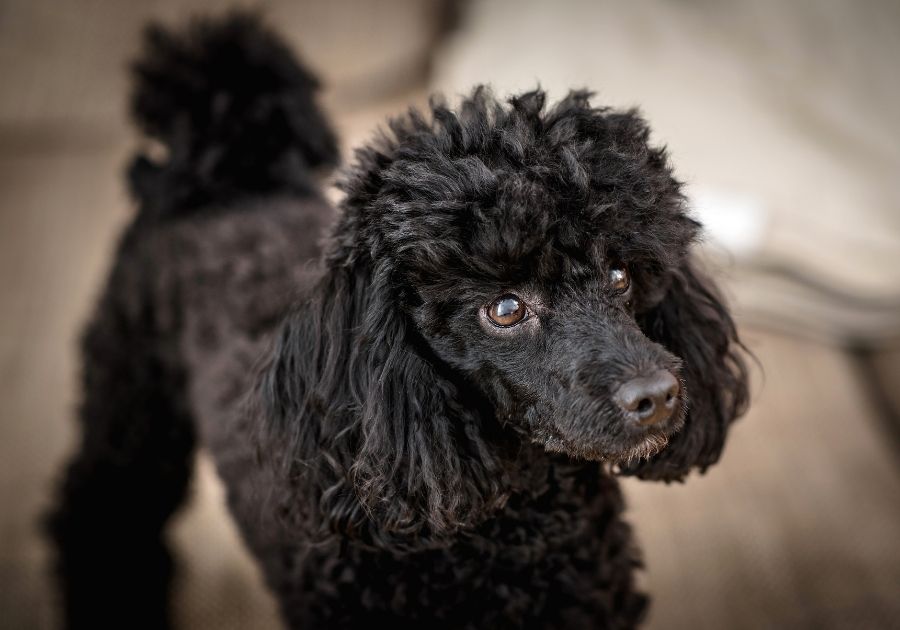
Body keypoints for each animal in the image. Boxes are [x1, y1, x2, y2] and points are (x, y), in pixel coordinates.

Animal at [49, 11, 748, 630]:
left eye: (620, 276)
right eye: (505, 309)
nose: (658, 395)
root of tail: (228, 179)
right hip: (132, 397)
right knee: (97, 514)